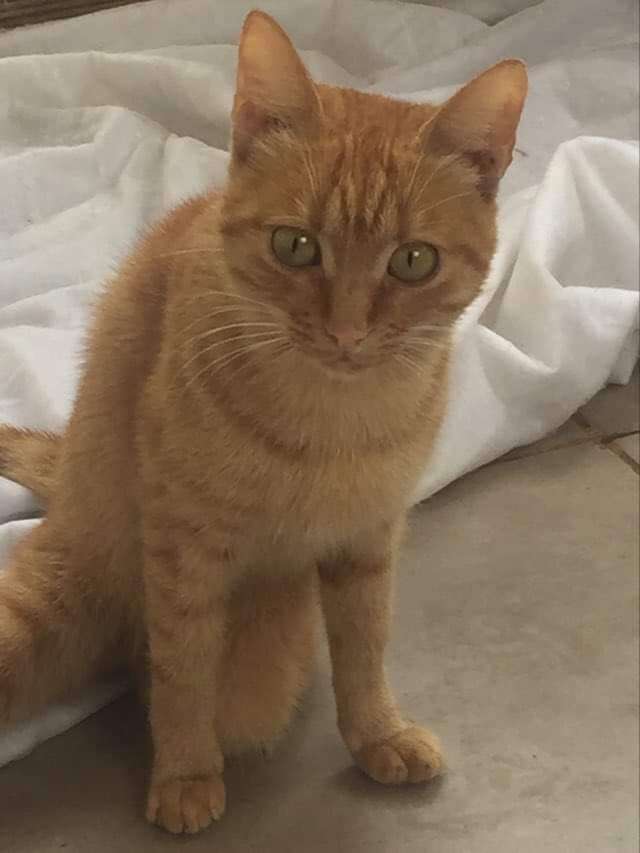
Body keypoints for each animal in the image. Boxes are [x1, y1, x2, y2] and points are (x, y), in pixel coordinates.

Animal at [0, 10, 527, 835]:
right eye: (295, 245)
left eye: (413, 261)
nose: (346, 333)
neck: (332, 421)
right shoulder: (184, 549)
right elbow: (186, 669)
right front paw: (185, 770)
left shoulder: (368, 539)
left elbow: (365, 645)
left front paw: (377, 732)